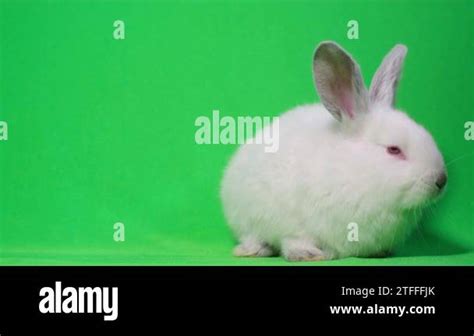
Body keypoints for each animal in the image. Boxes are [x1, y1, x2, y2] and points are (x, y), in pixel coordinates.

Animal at [220, 41, 446, 262]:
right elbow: (294, 241)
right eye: (393, 150)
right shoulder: (294, 224)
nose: (441, 180)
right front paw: (309, 255)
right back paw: (253, 250)